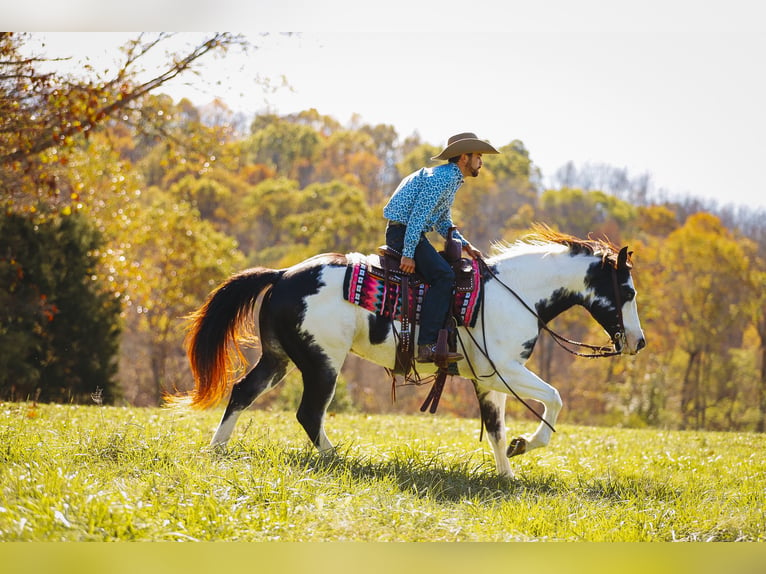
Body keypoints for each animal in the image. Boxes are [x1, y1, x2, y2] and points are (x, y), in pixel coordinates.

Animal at [180, 227, 648, 480]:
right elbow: (554, 399)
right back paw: (339, 459)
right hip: (322, 362)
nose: (638, 342)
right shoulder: (506, 371)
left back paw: (216, 450)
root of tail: (281, 276)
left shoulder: (489, 380)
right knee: (309, 413)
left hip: (279, 358)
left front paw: (508, 473)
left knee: (243, 392)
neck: (515, 293)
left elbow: (496, 430)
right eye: (627, 292)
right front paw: (525, 445)